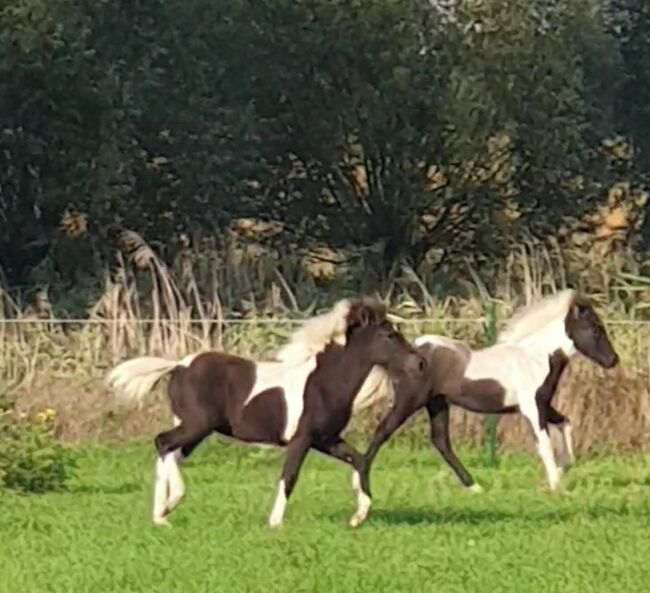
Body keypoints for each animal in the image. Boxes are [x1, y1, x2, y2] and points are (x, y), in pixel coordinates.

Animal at [106, 298, 426, 524]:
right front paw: (274, 523)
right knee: (163, 442)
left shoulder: (326, 439)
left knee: (169, 452)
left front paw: (359, 516)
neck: (323, 382)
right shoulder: (302, 438)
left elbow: (359, 460)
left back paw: (161, 513)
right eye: (388, 334)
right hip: (197, 425)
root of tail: (178, 366)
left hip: (195, 430)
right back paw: (169, 505)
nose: (420, 363)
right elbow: (289, 476)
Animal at [360, 290, 616, 490]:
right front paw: (554, 485)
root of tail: (412, 349)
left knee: (441, 441)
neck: (534, 358)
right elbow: (544, 443)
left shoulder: (543, 404)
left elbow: (565, 424)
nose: (613, 360)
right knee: (383, 431)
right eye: (595, 329)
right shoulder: (532, 408)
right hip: (409, 400)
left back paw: (474, 487)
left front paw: (561, 470)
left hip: (437, 403)